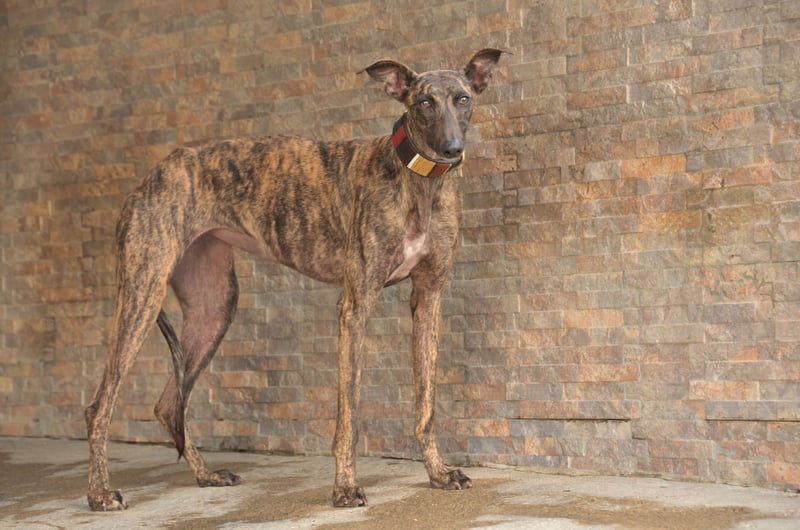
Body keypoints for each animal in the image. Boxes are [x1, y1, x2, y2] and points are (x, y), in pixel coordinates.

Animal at [84, 48, 503, 511]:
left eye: (463, 99)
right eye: (424, 102)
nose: (452, 150)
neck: (417, 182)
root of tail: (149, 177)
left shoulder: (428, 298)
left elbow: (425, 404)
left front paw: (439, 474)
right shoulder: (356, 306)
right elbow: (349, 415)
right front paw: (345, 487)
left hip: (214, 307)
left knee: (168, 404)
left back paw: (205, 475)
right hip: (142, 293)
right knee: (100, 404)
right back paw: (99, 494)